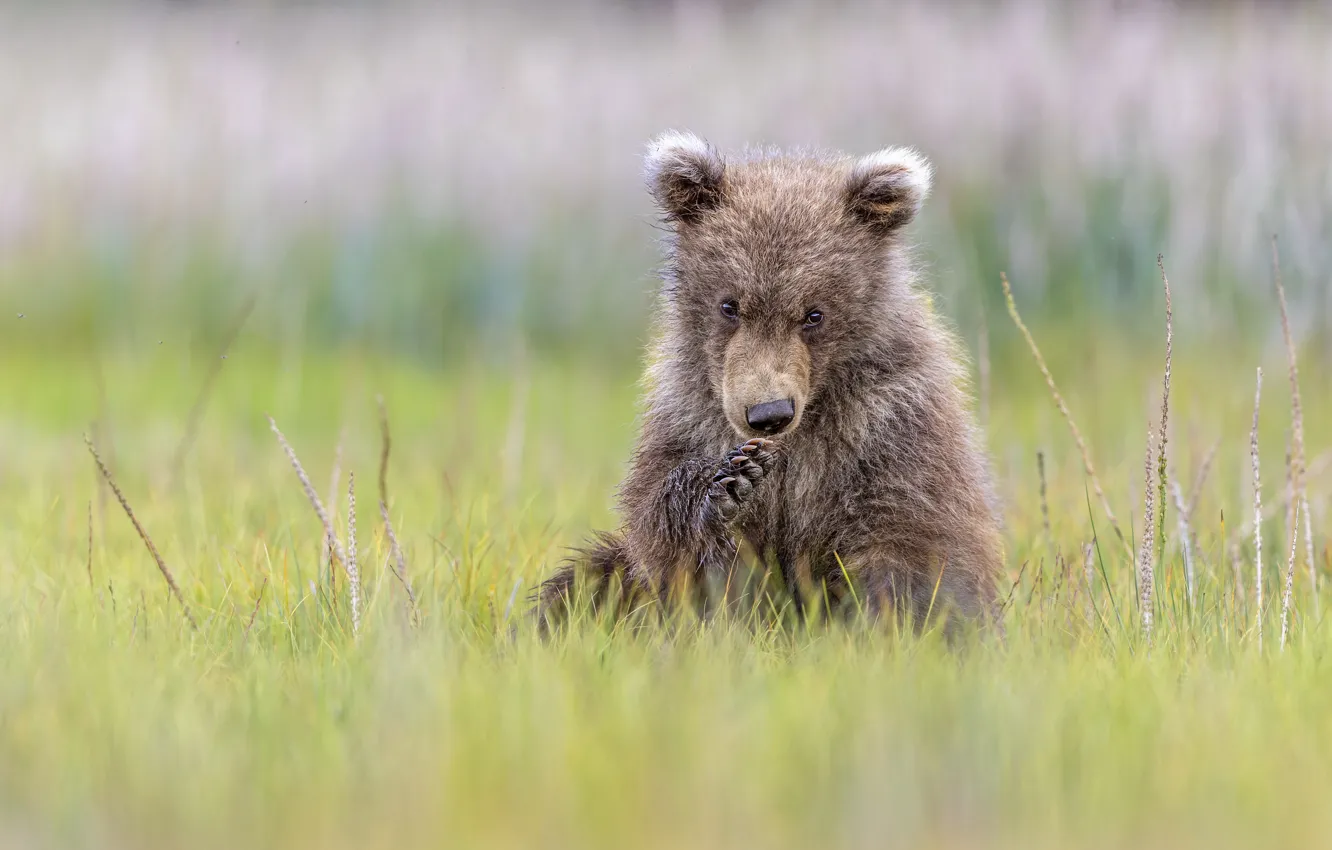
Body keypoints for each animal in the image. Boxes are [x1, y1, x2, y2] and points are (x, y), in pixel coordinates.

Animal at [537, 131, 1003, 631]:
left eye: (814, 313)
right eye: (729, 305)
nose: (768, 413)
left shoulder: (889, 422)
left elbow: (913, 540)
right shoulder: (688, 413)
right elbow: (666, 538)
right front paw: (728, 485)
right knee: (590, 578)